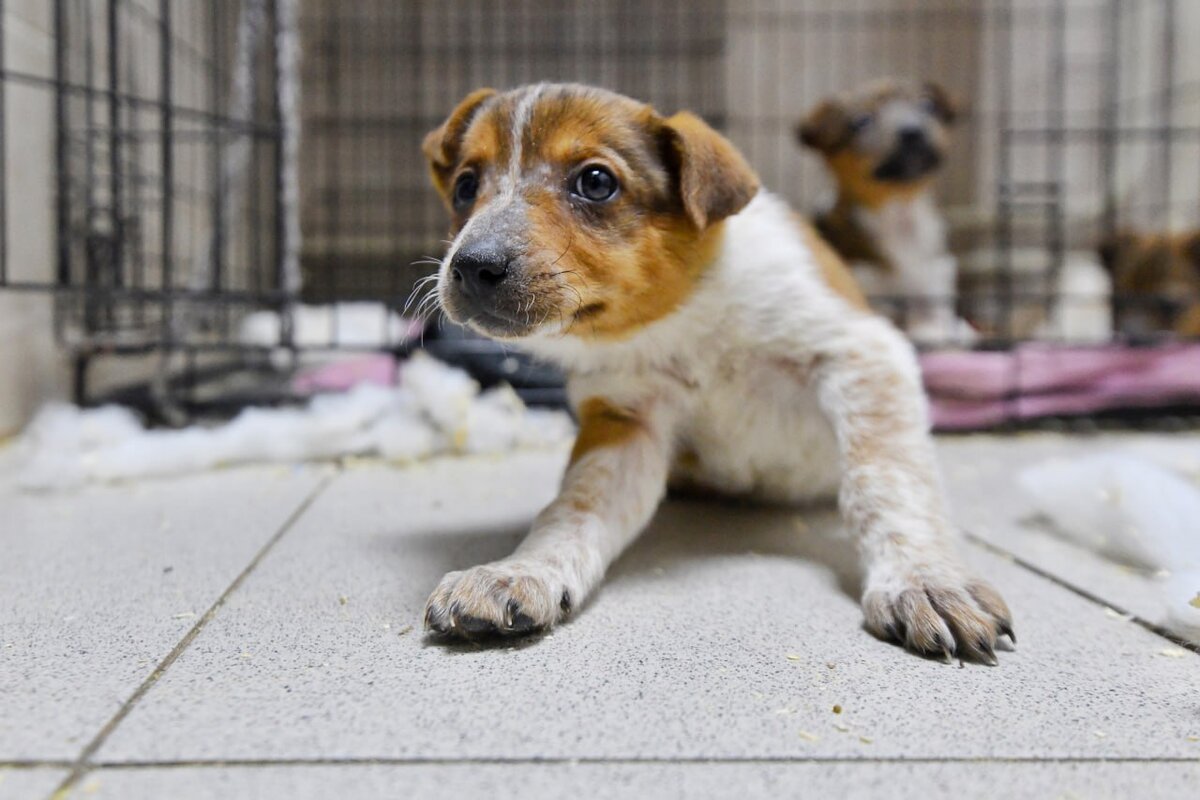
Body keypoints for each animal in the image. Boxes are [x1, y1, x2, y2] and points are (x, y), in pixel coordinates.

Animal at [796, 79, 974, 347]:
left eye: (927, 105)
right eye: (861, 121)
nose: (912, 131)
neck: (898, 213)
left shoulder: (934, 280)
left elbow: (932, 318)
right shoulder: (864, 286)